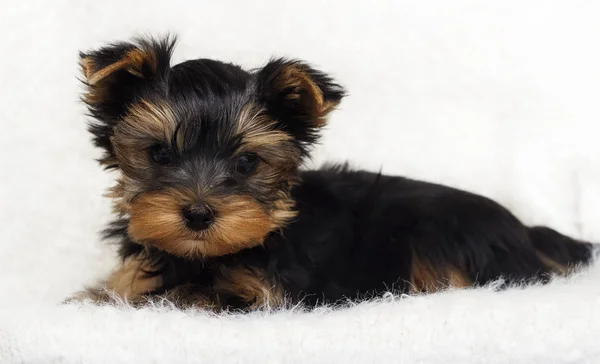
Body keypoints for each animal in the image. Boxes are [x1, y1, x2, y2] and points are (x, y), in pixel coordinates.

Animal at [72, 36, 592, 310]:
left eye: (246, 162)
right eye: (159, 154)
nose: (199, 215)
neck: (204, 256)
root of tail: (525, 230)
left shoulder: (265, 296)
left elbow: (187, 297)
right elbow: (125, 287)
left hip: (438, 237)